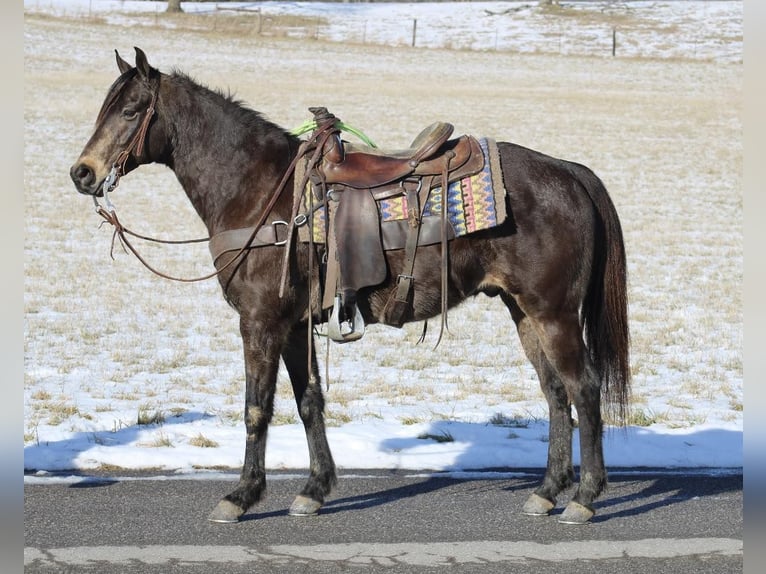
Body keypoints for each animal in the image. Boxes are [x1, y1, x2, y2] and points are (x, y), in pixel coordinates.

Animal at [70, 48, 632, 528]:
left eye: (130, 111)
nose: (83, 173)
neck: (259, 190)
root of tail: (568, 172)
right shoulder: (294, 326)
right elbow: (308, 401)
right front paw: (314, 490)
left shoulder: (260, 321)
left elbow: (256, 407)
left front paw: (241, 496)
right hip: (524, 311)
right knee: (555, 393)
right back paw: (547, 491)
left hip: (554, 313)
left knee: (583, 389)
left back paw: (584, 497)